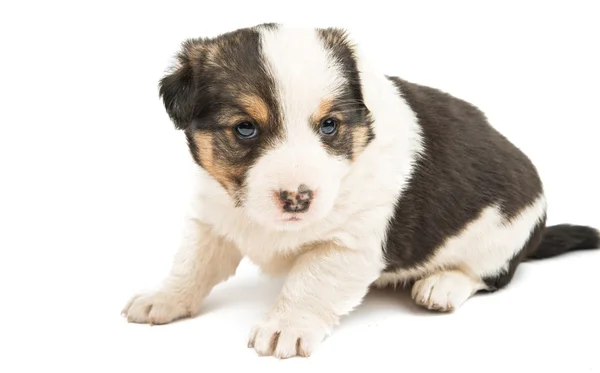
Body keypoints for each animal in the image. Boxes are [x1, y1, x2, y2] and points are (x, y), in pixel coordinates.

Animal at [122, 23, 600, 358]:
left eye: (329, 125)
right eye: (245, 128)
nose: (298, 198)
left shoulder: (348, 245)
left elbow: (310, 282)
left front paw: (285, 325)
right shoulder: (213, 219)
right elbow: (191, 266)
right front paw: (164, 298)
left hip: (502, 235)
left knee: (491, 275)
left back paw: (443, 284)